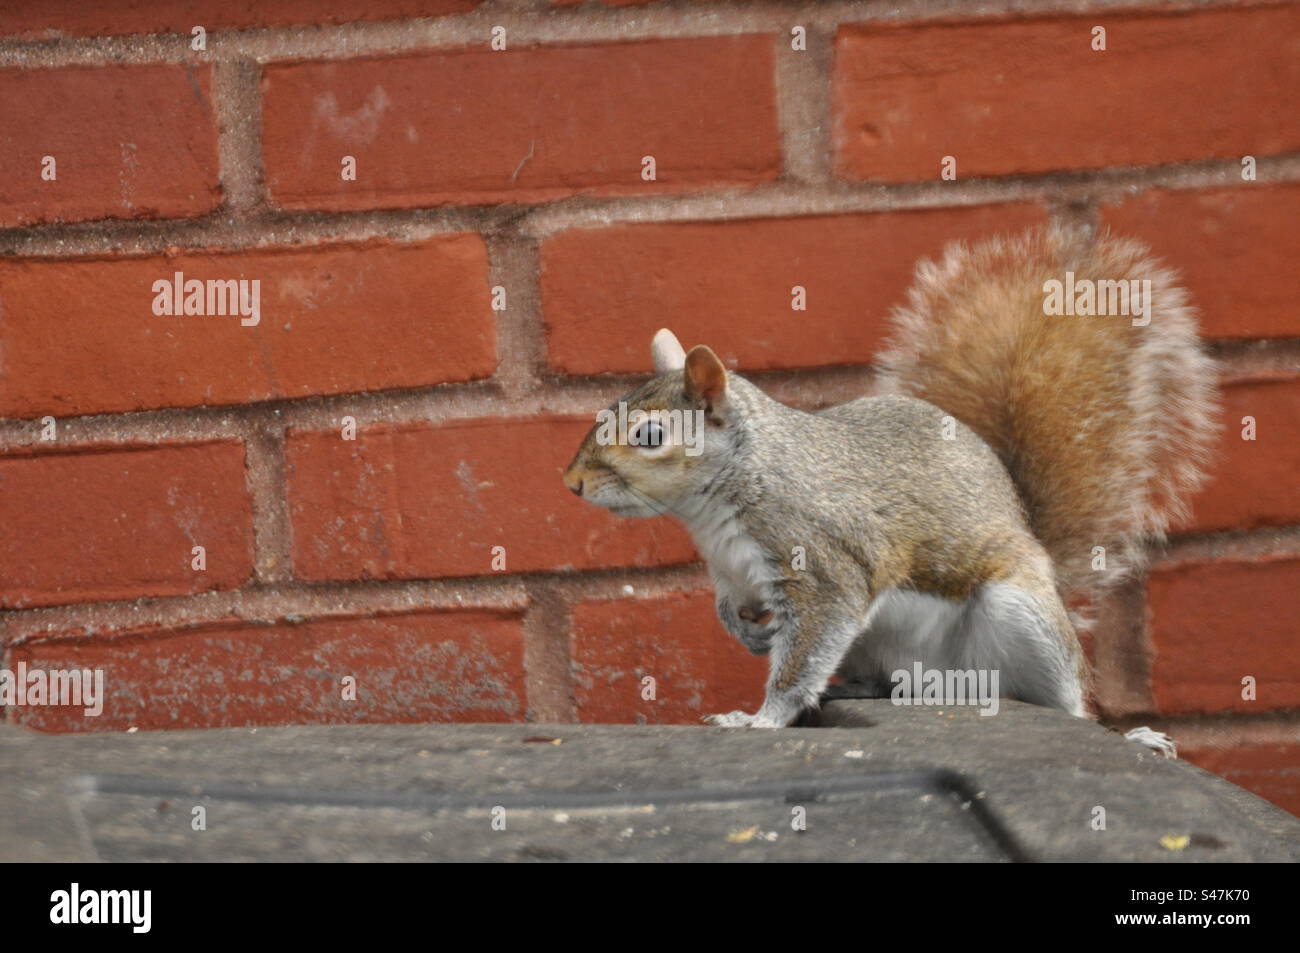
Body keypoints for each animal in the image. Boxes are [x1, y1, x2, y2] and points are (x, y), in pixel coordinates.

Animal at [562, 225, 1219, 750]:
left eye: (650, 435)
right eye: (610, 407)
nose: (572, 482)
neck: (725, 497)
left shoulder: (824, 564)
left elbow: (803, 654)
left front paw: (761, 719)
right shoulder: (732, 572)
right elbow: (727, 609)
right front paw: (748, 633)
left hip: (1020, 616)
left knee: (1069, 705)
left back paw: (1127, 735)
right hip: (872, 644)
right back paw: (857, 689)